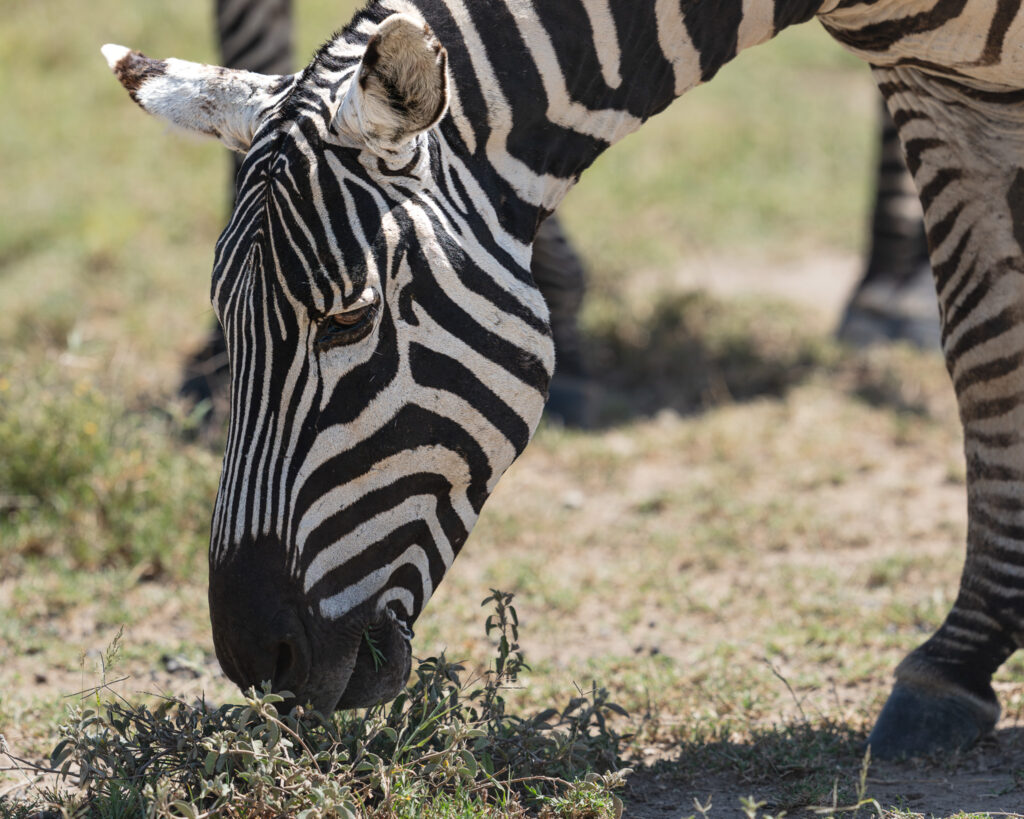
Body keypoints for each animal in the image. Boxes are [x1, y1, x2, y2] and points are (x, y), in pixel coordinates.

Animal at [101, 0, 1024, 760]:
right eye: (228, 334)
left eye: (350, 320)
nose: (257, 659)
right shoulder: (938, 85)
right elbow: (987, 352)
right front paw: (963, 659)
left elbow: (989, 353)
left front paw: (955, 660)